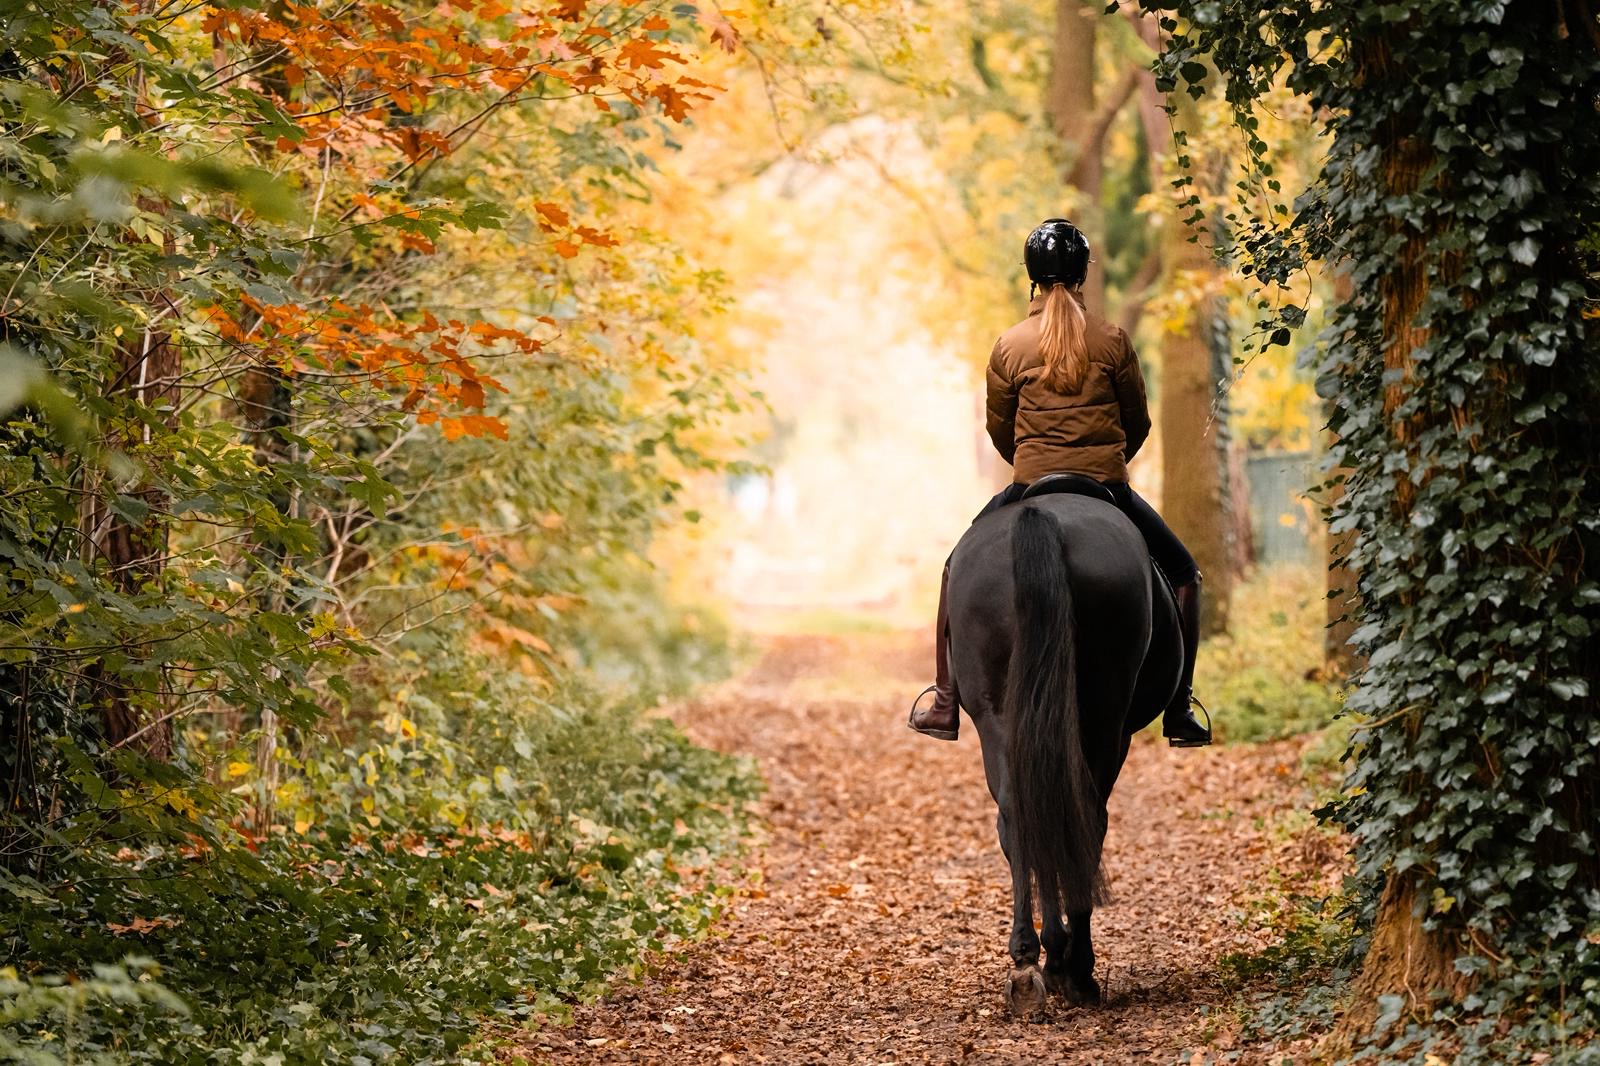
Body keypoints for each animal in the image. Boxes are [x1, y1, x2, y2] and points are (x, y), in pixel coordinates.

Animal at [944, 481, 1183, 1016]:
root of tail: (1041, 516)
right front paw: (1071, 965)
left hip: (998, 717)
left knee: (1021, 816)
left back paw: (1028, 962)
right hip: (1104, 718)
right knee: (1085, 817)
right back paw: (1071, 968)